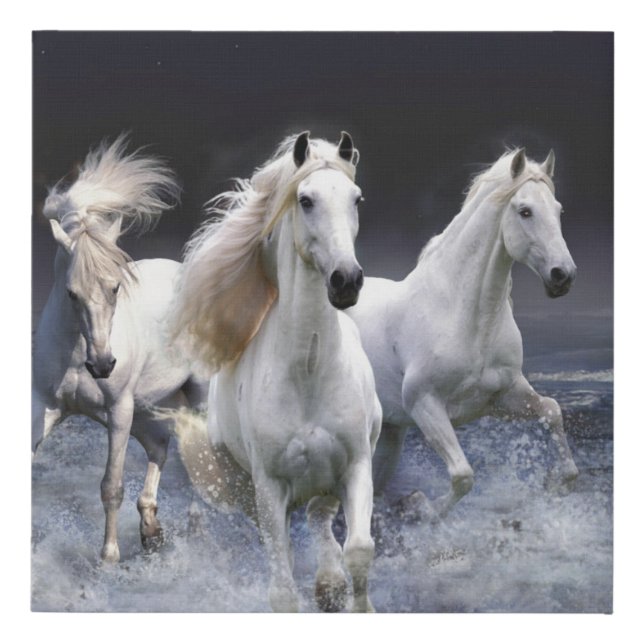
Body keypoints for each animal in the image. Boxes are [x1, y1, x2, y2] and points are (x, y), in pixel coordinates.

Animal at [32, 135, 206, 563]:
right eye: (71, 293)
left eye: (115, 287)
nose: (102, 365)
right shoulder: (44, 407)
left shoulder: (118, 411)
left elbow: (111, 486)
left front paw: (109, 558)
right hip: (146, 410)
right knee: (160, 448)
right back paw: (151, 530)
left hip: (192, 397)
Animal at [169, 132, 382, 612]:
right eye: (305, 200)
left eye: (357, 198)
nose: (346, 280)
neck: (309, 371)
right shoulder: (269, 487)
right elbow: (282, 588)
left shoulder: (357, 466)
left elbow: (360, 550)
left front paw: (355, 601)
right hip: (245, 487)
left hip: (327, 481)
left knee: (321, 519)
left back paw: (329, 583)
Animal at [348, 148, 579, 518]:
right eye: (525, 211)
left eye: (558, 210)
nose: (563, 275)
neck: (465, 318)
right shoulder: (425, 405)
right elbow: (463, 475)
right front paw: (420, 507)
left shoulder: (502, 397)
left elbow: (552, 411)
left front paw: (557, 484)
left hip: (389, 435)